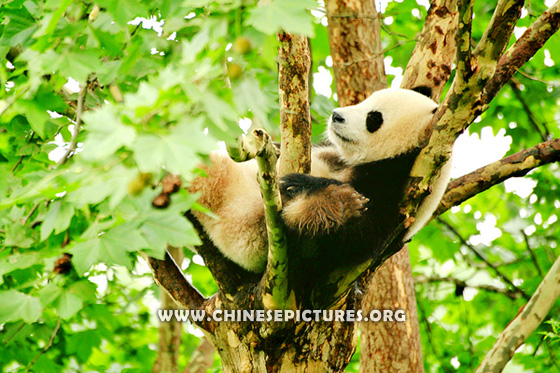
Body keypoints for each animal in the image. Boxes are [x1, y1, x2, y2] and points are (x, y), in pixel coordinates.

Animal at [186, 87, 452, 274]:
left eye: (374, 119)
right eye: (366, 100)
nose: (336, 116)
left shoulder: (398, 188)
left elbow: (353, 235)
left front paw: (316, 192)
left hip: (248, 230)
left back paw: (335, 205)